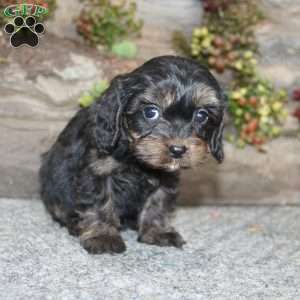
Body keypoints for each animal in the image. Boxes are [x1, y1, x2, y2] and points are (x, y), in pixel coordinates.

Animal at [40, 55, 227, 253]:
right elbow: (100, 203)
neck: (136, 157)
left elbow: (158, 203)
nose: (178, 150)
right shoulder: (97, 169)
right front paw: (103, 236)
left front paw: (157, 232)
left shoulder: (166, 178)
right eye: (150, 112)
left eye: (202, 115)